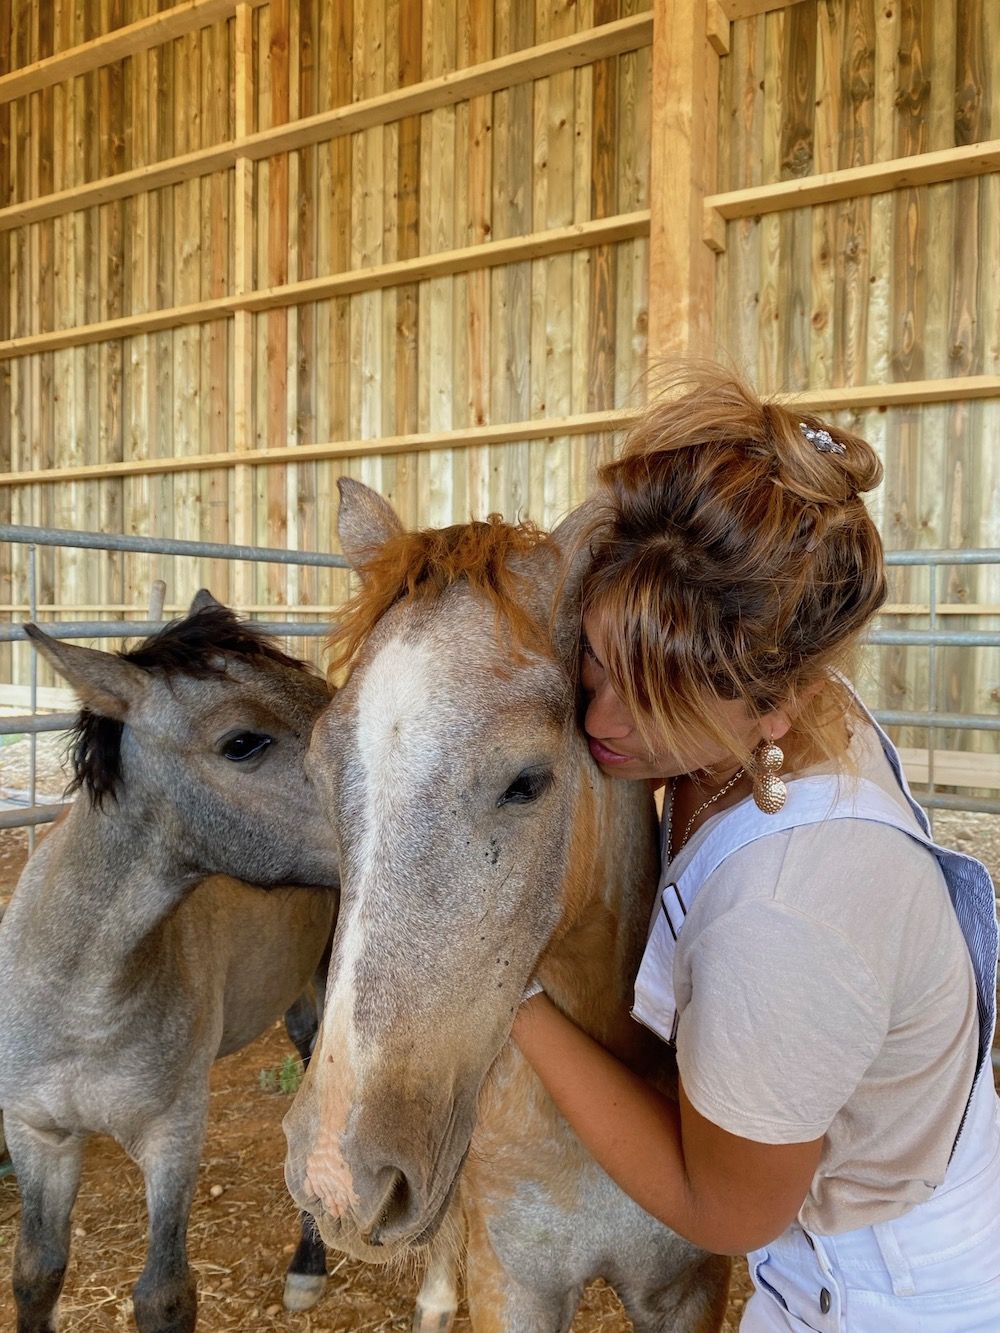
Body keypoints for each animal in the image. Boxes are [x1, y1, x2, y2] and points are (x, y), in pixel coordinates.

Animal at [0, 597, 341, 1333]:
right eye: (242, 742)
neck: (83, 993)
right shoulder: (39, 1134)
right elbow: (36, 1272)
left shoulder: (172, 1136)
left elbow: (164, 1294)